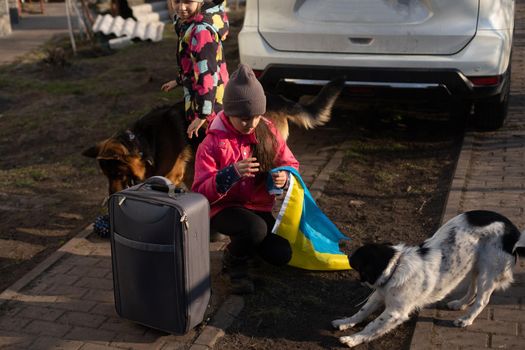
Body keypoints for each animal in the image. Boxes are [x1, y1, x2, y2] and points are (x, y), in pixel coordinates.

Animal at [82, 79, 344, 194]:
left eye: (116, 174)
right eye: (106, 176)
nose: (111, 196)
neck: (142, 141)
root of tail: (278, 97)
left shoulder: (169, 174)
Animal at [332, 211, 524, 348]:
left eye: (355, 259)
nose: (346, 255)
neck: (395, 267)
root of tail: (514, 231)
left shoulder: (395, 312)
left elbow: (372, 325)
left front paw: (353, 339)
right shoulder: (379, 295)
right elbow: (362, 311)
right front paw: (345, 322)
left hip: (488, 271)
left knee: (482, 300)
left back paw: (466, 319)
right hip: (474, 264)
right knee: (473, 288)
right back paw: (460, 304)